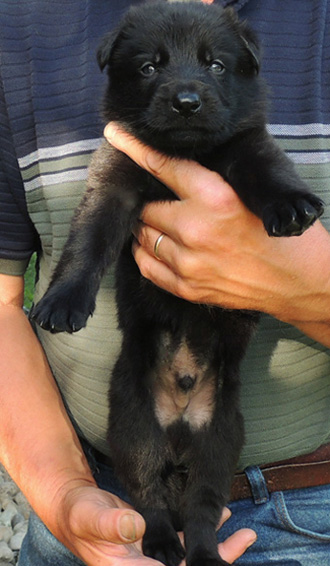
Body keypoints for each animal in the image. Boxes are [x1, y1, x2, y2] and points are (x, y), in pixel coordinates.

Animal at [31, 2, 324, 564]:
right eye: (149, 67)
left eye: (216, 65)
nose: (186, 102)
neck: (187, 155)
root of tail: (182, 422)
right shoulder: (114, 182)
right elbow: (86, 241)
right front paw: (63, 301)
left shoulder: (246, 144)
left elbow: (267, 168)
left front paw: (292, 203)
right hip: (133, 427)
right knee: (151, 499)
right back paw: (165, 544)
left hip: (221, 440)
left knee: (203, 508)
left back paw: (206, 553)